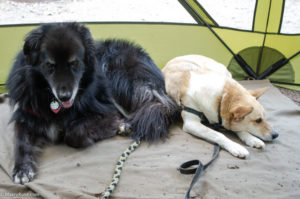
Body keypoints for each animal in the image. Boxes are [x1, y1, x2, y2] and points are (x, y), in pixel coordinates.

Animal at [7, 23, 179, 185]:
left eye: (74, 63)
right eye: (50, 65)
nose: (65, 97)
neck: (49, 97)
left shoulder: (105, 110)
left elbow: (74, 132)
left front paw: (109, 127)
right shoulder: (26, 115)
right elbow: (20, 141)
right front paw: (22, 169)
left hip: (113, 74)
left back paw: (125, 124)